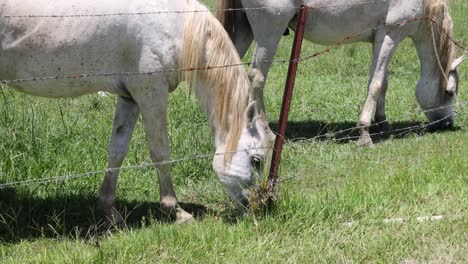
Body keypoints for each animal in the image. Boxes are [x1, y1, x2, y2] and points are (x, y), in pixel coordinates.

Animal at [0, 0, 276, 224]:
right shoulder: (151, 92)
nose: (262, 205)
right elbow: (161, 153)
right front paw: (175, 210)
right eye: (256, 160)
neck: (174, 22)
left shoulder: (129, 97)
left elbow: (117, 151)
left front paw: (109, 210)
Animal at [218, 0, 464, 145]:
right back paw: (266, 131)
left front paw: (382, 123)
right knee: (256, 77)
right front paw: (365, 133)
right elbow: (375, 84)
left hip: (244, 28)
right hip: (269, 31)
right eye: (450, 92)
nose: (447, 124)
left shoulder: (379, 39)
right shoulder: (390, 35)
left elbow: (382, 82)